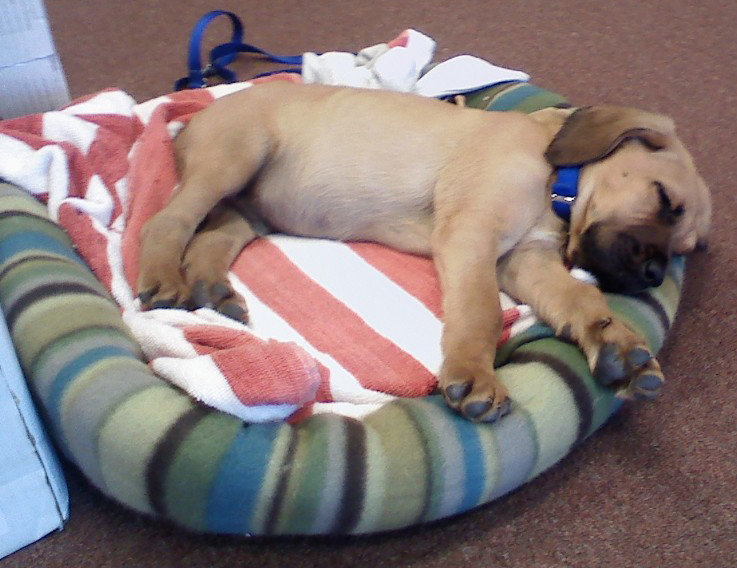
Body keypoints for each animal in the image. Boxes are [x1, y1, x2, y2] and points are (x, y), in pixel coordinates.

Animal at [137, 81, 711, 423]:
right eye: (664, 200)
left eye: (683, 246)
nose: (654, 274)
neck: (557, 183)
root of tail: (191, 121)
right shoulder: (472, 234)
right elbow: (480, 312)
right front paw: (475, 375)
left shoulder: (525, 259)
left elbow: (580, 299)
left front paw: (617, 344)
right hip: (235, 158)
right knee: (167, 222)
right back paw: (164, 277)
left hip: (252, 205)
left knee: (211, 235)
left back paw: (213, 290)